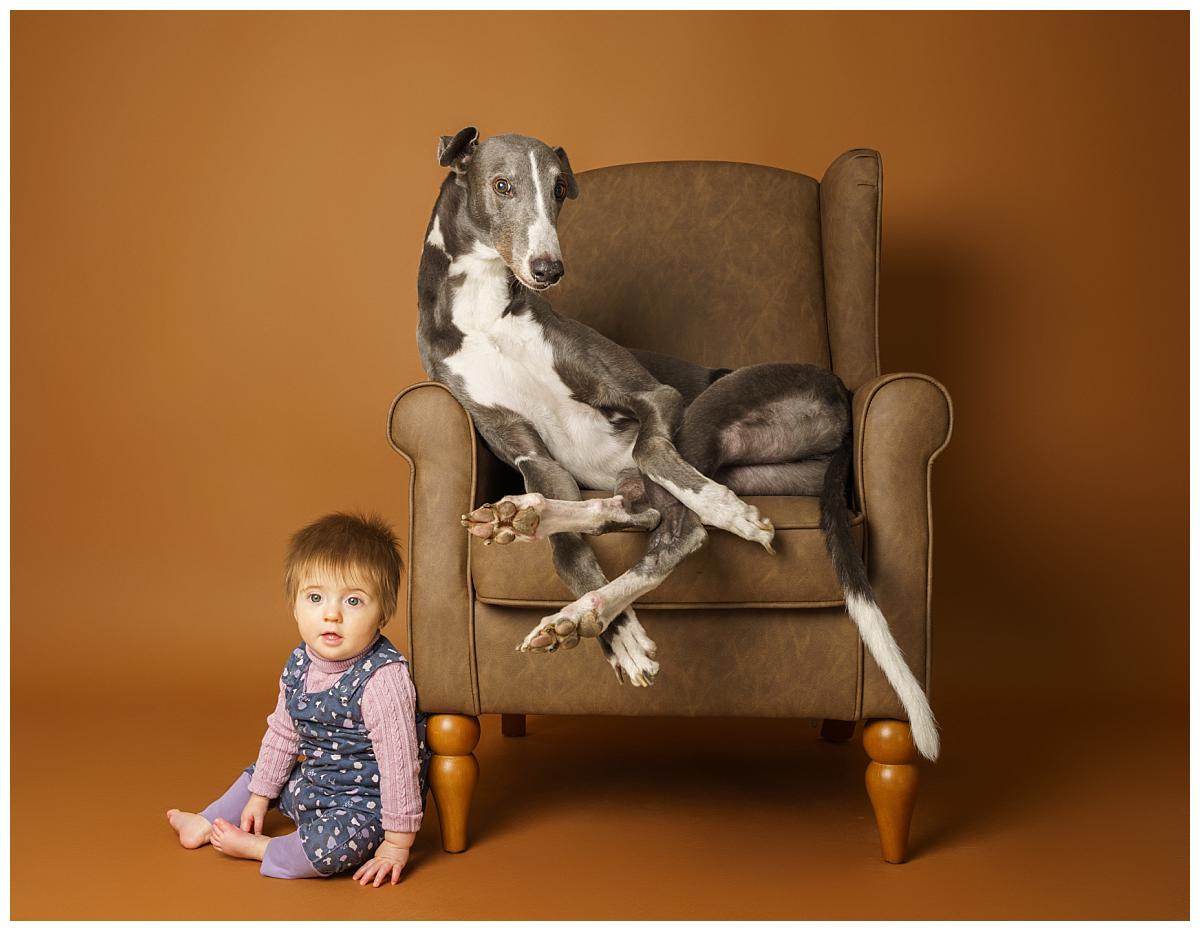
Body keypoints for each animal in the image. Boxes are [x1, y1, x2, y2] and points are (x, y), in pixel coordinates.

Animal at [417, 128, 940, 758]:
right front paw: (617, 635)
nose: (548, 269)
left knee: (680, 523)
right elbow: (566, 549)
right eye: (502, 185)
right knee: (633, 509)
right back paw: (528, 529)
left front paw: (720, 516)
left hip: (712, 407)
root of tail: (841, 391)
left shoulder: (655, 396)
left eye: (560, 189)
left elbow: (653, 453)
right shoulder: (530, 454)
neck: (486, 315)